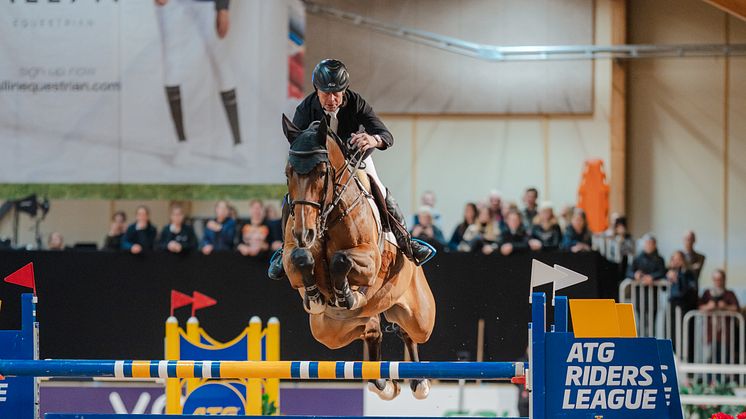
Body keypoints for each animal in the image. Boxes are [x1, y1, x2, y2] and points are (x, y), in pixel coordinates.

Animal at [280, 115, 436, 400]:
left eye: (322, 172)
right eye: (289, 173)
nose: (304, 232)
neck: (328, 214)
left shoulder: (370, 260)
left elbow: (341, 260)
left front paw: (346, 294)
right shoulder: (290, 255)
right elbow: (300, 258)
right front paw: (316, 297)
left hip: (421, 317)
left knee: (410, 333)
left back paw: (420, 382)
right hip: (330, 330)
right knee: (372, 331)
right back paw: (383, 383)